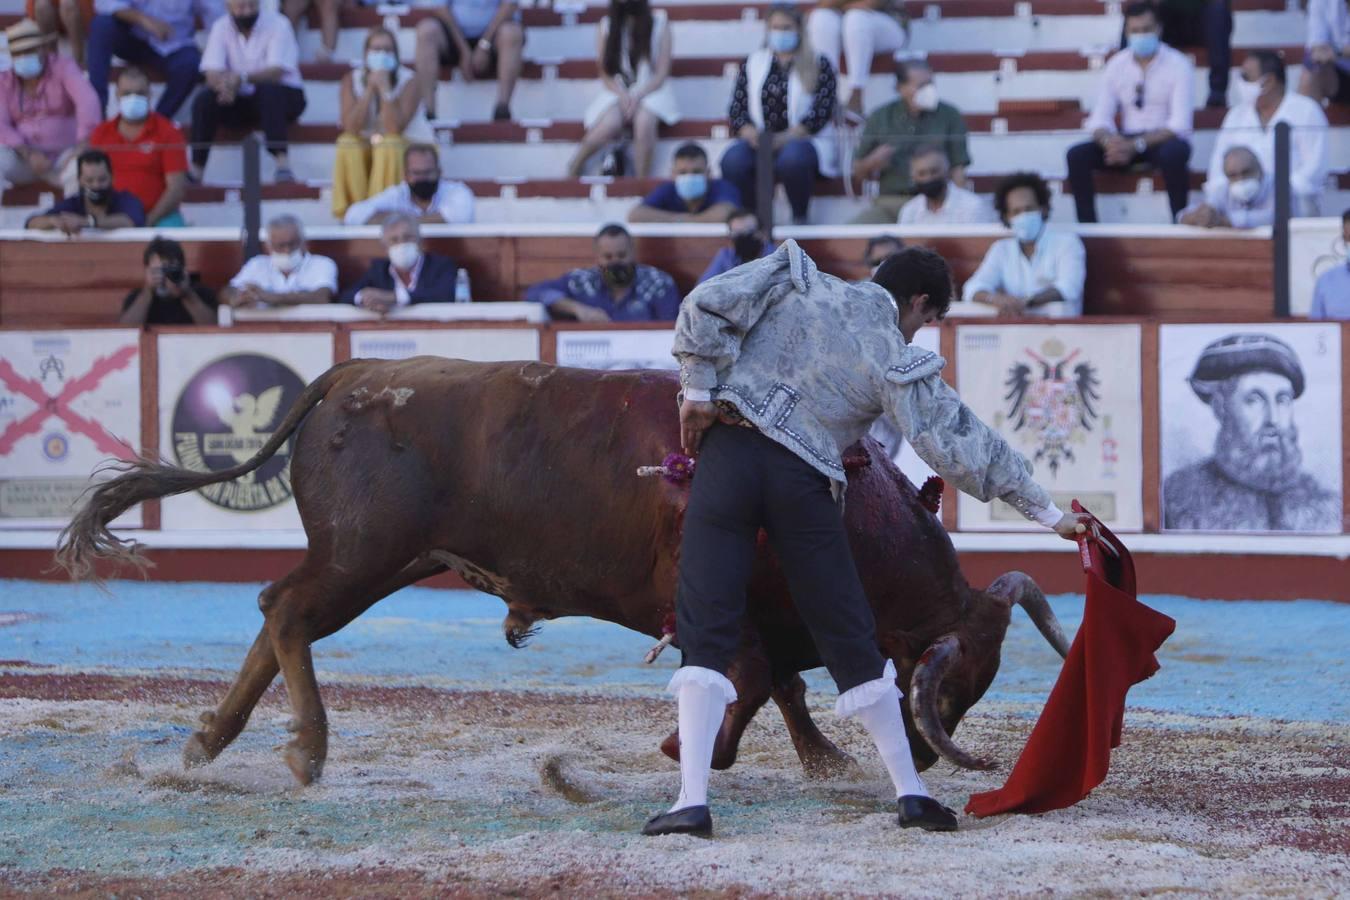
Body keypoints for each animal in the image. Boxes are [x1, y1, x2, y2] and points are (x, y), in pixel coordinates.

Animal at [58, 356, 1069, 782]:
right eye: (959, 682)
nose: (930, 754)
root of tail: (354, 371)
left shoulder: (774, 617)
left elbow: (778, 684)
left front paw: (817, 756)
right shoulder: (725, 611)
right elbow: (747, 684)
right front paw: (688, 753)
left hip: (374, 561)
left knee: (279, 611)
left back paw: (208, 743)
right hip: (361, 556)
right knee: (290, 612)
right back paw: (305, 750)